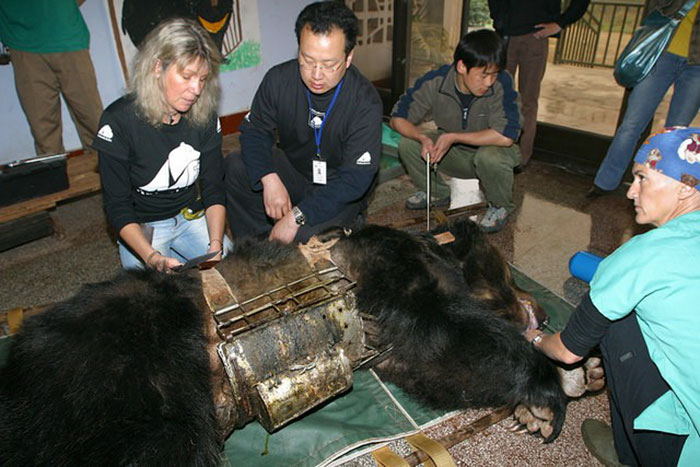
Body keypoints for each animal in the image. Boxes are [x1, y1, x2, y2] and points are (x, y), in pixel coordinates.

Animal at [0, 221, 600, 466]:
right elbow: (453, 334)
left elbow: (440, 364)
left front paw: (544, 402)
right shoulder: (390, 274)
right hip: (133, 387)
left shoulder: (386, 330)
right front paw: (549, 390)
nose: (544, 311)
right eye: (509, 273)